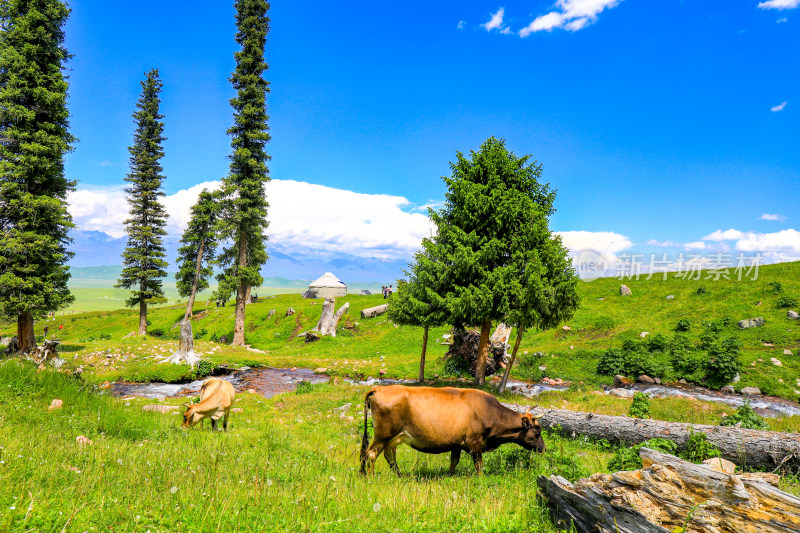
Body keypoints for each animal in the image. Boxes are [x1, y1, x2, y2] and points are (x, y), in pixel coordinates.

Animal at [360, 384, 544, 476]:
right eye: (537, 431)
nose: (544, 448)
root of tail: (378, 388)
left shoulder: (457, 443)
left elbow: (454, 461)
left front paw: (449, 476)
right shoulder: (475, 441)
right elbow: (478, 463)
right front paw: (480, 478)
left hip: (393, 437)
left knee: (388, 455)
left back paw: (398, 475)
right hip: (383, 435)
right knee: (371, 453)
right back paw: (370, 476)